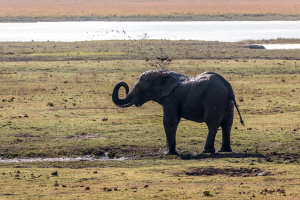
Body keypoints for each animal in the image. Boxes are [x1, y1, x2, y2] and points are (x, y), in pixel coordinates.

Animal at [112, 69, 244, 155]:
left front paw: (168, 153)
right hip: (227, 103)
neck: (161, 73)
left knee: (212, 124)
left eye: (142, 88)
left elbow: (169, 121)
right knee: (227, 124)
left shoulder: (170, 98)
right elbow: (174, 121)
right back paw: (224, 150)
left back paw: (207, 151)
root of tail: (228, 87)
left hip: (214, 99)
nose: (125, 87)